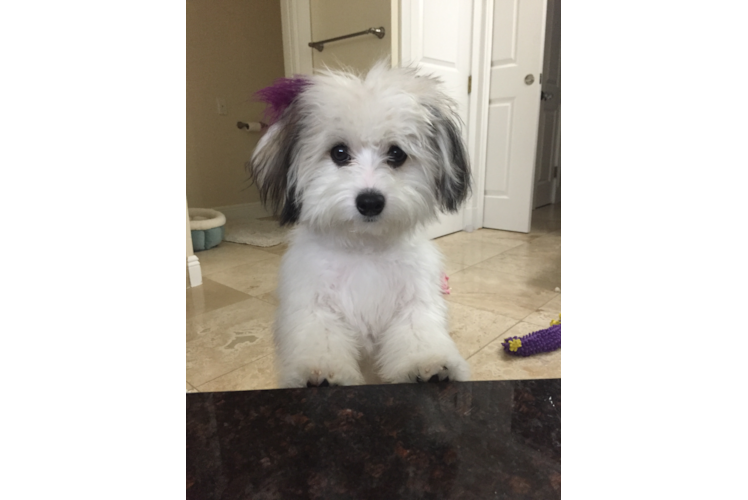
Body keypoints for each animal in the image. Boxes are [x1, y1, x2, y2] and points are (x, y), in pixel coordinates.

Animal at [251, 62, 474, 388]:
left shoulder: (415, 303)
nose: (370, 202)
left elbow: (418, 333)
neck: (364, 249)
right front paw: (320, 372)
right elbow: (321, 339)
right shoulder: (314, 307)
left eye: (397, 153)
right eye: (339, 152)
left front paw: (428, 364)